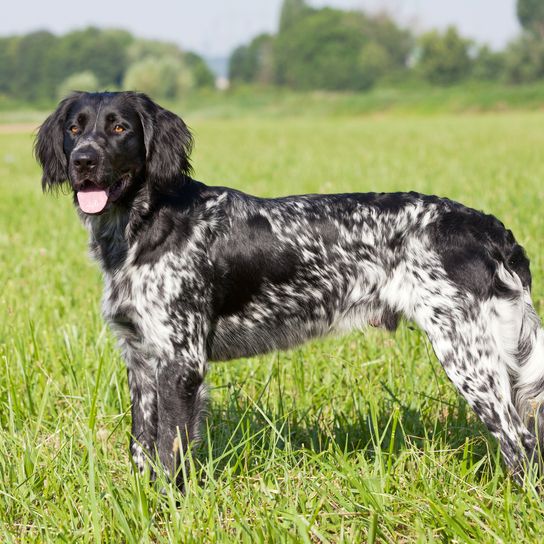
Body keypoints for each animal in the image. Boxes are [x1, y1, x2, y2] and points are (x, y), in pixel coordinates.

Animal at [36, 91, 544, 486]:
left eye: (120, 127)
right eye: (75, 128)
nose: (83, 160)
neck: (146, 224)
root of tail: (490, 228)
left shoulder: (181, 363)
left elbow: (169, 453)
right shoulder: (140, 358)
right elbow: (143, 448)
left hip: (467, 355)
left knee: (520, 441)